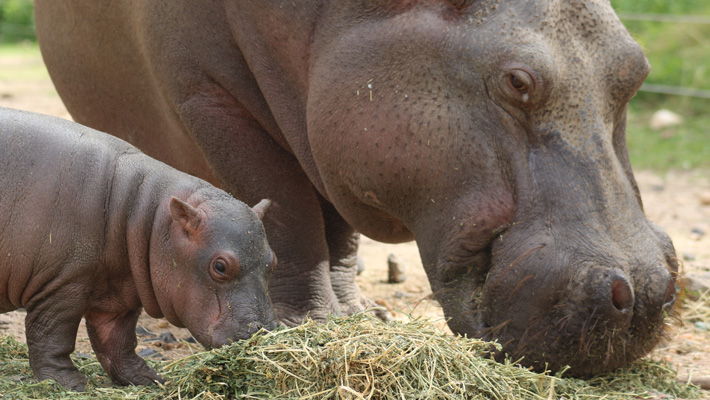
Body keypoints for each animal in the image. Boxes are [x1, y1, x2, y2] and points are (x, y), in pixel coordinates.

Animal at [0, 107, 278, 390]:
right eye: (220, 266)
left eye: (273, 261)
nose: (264, 332)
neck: (145, 214)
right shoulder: (63, 283)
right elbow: (51, 333)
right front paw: (69, 383)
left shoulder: (118, 294)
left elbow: (117, 342)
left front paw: (152, 380)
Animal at [34, 0, 680, 376]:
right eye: (518, 81)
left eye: (637, 71)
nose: (648, 293)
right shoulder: (212, 96)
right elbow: (286, 211)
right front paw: (310, 324)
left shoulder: (333, 147)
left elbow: (336, 232)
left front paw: (357, 317)